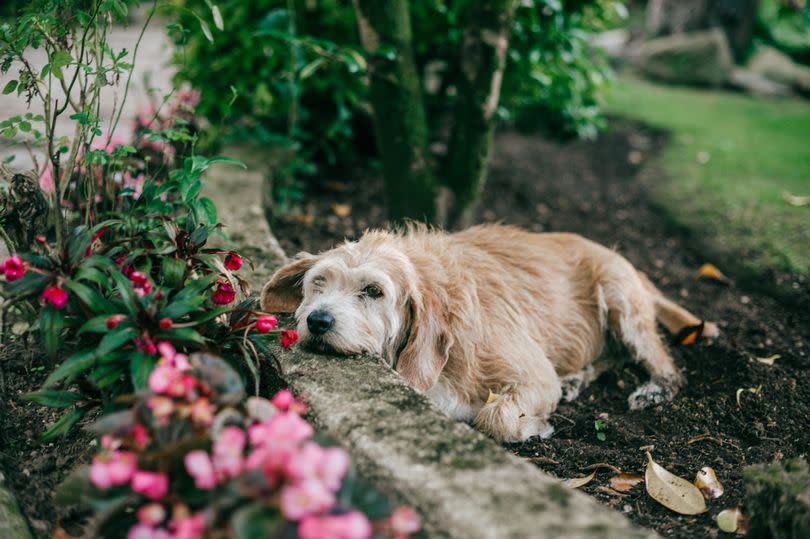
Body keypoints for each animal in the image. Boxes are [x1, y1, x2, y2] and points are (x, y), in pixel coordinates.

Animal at [258, 224, 712, 442]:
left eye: (373, 291)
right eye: (319, 283)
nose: (317, 321)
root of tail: (627, 262)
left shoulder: (533, 375)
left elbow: (495, 417)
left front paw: (534, 427)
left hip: (620, 299)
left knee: (666, 366)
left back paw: (654, 388)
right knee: (610, 357)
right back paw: (576, 379)